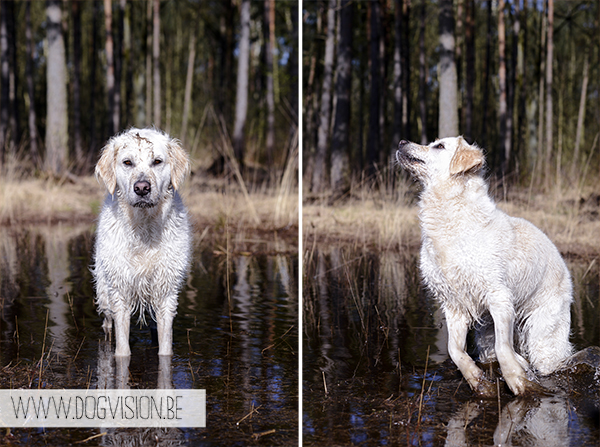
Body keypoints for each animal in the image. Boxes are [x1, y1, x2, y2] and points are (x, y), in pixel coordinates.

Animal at [91, 129, 192, 356]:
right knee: (107, 325)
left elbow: (165, 347)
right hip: (104, 293)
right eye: (127, 162)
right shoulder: (119, 292)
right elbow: (122, 348)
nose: (142, 188)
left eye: (157, 161)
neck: (144, 227)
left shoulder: (166, 293)